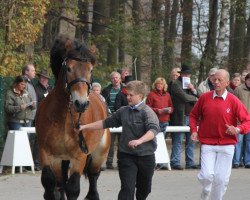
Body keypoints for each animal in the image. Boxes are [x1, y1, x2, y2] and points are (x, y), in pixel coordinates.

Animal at [35, 36, 110, 200]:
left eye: (90, 69)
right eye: (69, 68)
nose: (81, 103)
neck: (63, 117)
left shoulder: (79, 157)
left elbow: (73, 187)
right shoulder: (47, 153)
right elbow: (49, 182)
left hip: (99, 153)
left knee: (93, 176)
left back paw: (92, 194)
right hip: (62, 159)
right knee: (60, 182)